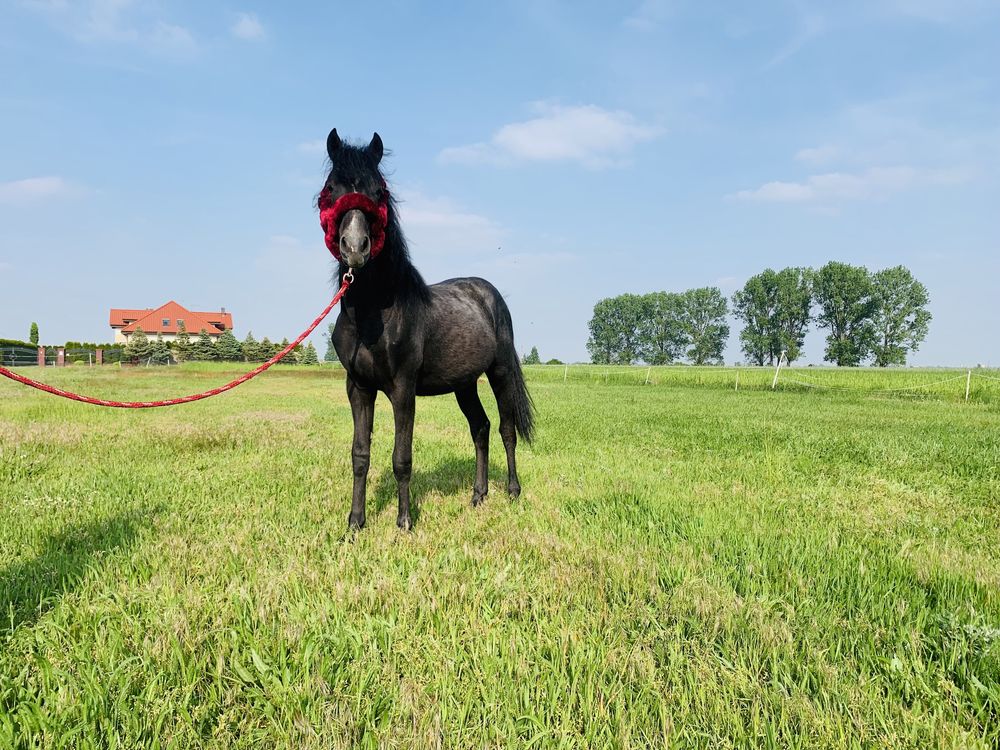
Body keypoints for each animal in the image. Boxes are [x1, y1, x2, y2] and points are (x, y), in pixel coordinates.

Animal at [324, 129, 536, 532]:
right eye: (331, 188)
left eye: (379, 191)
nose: (355, 248)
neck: (373, 315)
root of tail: (487, 292)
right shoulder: (358, 388)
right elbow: (360, 454)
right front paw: (355, 523)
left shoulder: (403, 389)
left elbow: (401, 457)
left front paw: (405, 522)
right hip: (464, 383)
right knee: (481, 427)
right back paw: (478, 495)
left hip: (499, 371)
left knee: (506, 428)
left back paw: (513, 491)